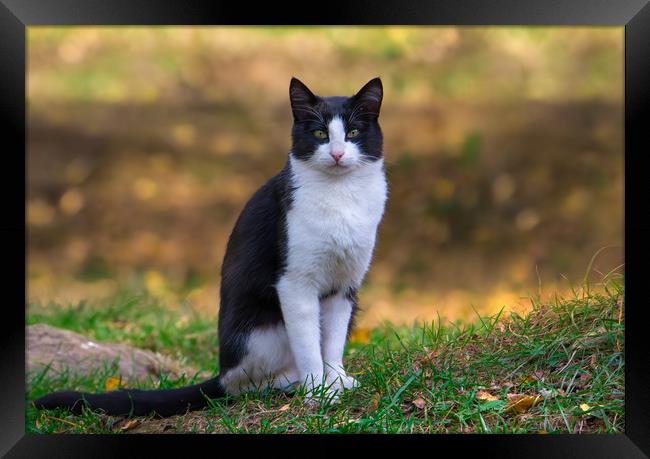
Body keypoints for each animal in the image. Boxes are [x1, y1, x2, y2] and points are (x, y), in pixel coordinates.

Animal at [34, 77, 384, 418]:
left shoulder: (345, 284)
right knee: (249, 382)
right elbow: (309, 344)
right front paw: (317, 391)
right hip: (259, 335)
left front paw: (334, 381)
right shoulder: (294, 283)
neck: (340, 195)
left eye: (353, 133)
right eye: (319, 134)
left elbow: (333, 342)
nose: (337, 153)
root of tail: (221, 374)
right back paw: (290, 382)